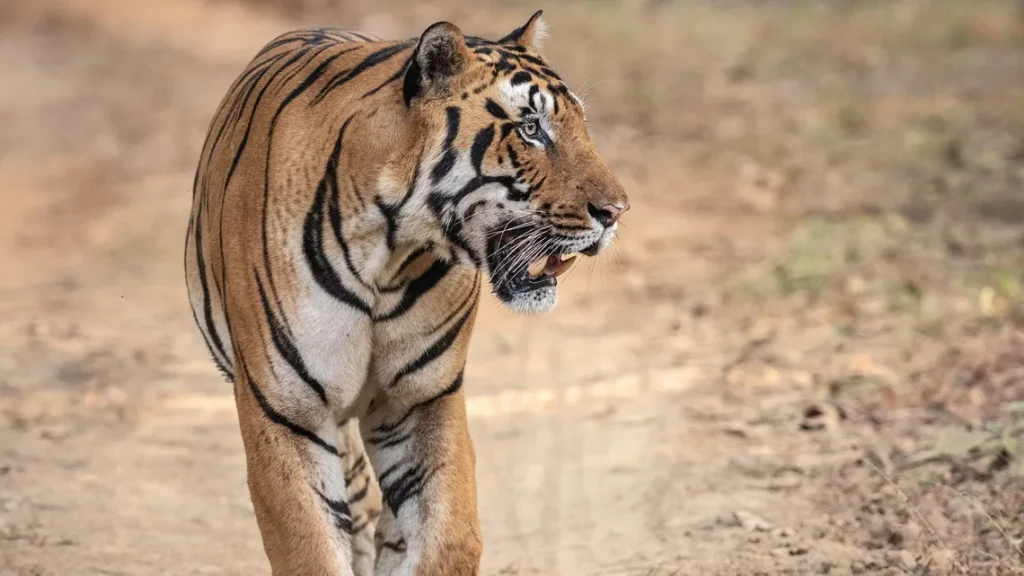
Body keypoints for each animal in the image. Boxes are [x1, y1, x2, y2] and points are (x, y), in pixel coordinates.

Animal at [187, 10, 626, 573]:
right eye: (531, 128)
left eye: (581, 124)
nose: (617, 211)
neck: (391, 248)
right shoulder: (284, 410)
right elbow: (310, 546)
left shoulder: (422, 398)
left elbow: (447, 534)